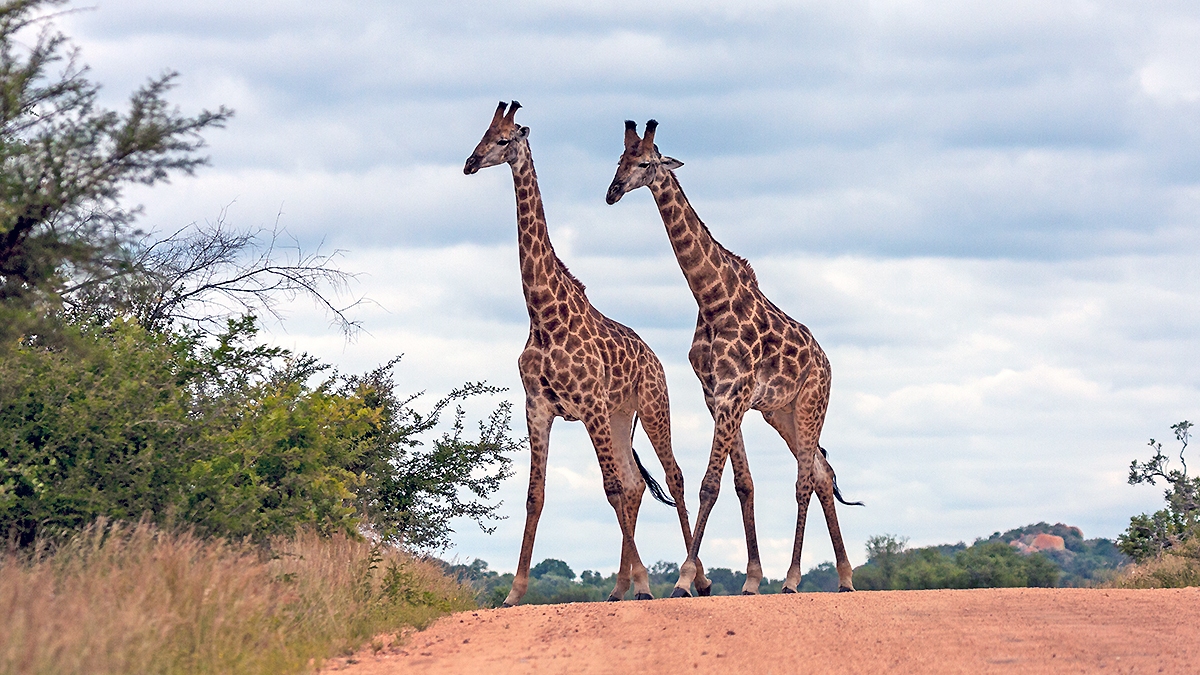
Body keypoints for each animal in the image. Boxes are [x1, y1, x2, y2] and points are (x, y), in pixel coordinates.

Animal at [464, 102, 710, 605]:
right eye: (481, 132)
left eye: (504, 139)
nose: (470, 163)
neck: (542, 314)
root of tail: (655, 358)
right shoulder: (538, 407)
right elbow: (535, 496)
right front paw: (514, 592)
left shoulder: (590, 404)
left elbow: (610, 487)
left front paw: (647, 583)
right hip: (619, 416)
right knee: (637, 484)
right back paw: (621, 588)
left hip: (650, 406)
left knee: (670, 477)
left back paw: (693, 581)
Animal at [605, 119, 862, 596]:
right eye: (620, 159)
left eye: (646, 163)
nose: (612, 191)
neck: (711, 300)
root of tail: (826, 362)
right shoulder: (719, 398)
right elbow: (743, 484)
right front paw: (751, 578)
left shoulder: (732, 395)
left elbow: (710, 485)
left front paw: (685, 579)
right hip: (781, 412)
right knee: (820, 473)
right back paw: (845, 577)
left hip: (811, 404)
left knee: (804, 480)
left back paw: (794, 579)